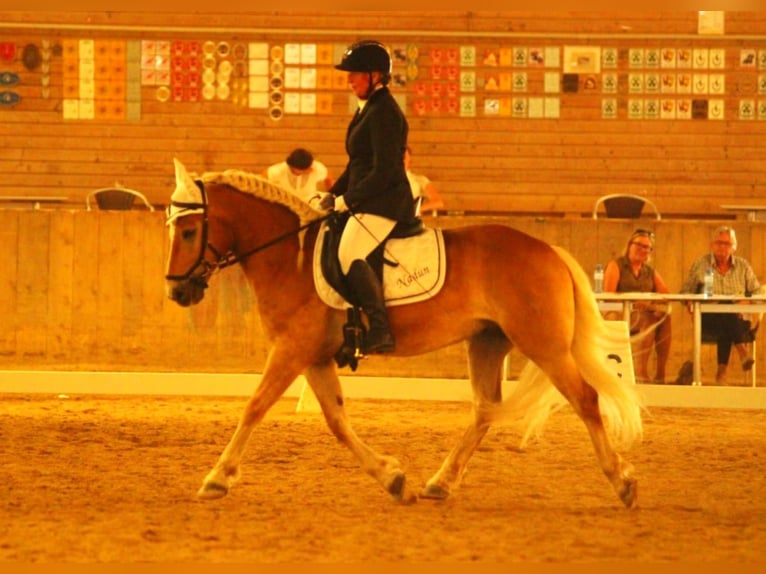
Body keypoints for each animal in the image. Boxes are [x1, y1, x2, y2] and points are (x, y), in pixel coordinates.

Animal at [165, 158, 644, 508]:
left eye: (188, 231)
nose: (177, 292)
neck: (289, 257)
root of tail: (549, 250)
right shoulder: (314, 355)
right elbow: (337, 420)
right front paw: (392, 478)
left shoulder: (291, 350)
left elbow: (255, 406)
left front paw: (216, 478)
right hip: (488, 342)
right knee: (485, 410)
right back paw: (440, 482)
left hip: (545, 346)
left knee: (585, 399)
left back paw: (622, 482)